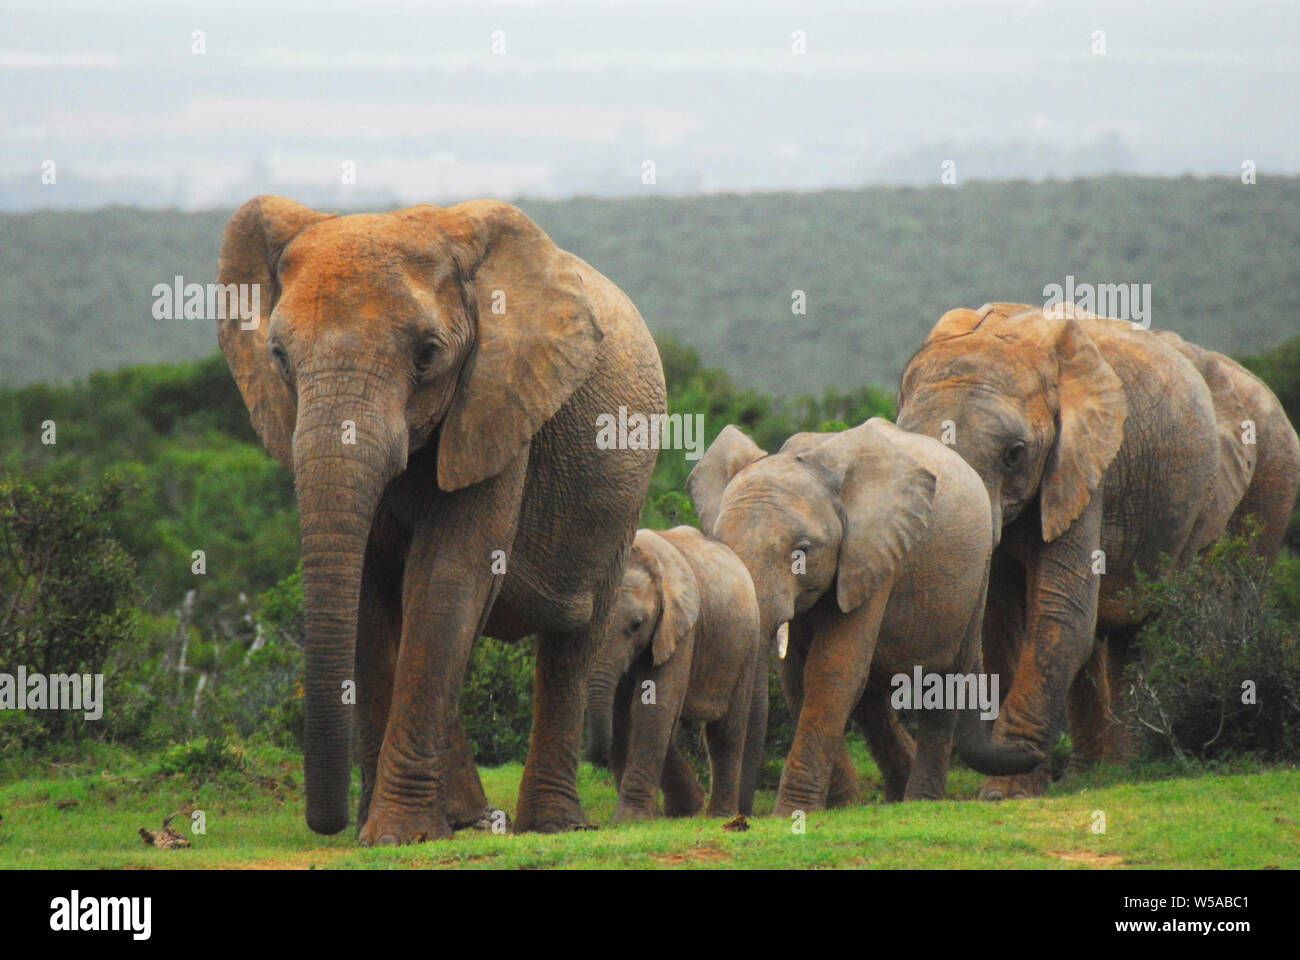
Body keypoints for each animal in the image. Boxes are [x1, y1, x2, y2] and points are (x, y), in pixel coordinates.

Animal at [218, 197, 665, 842]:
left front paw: (397, 835)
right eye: (278, 356)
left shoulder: (498, 405)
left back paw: (552, 826)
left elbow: (447, 579)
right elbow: (371, 595)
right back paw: (467, 816)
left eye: (428, 355)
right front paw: (385, 829)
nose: (327, 824)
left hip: (623, 498)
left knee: (572, 645)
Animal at [585, 528, 764, 816]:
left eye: (637, 625)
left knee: (726, 731)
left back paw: (719, 815)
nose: (592, 758)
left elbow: (655, 706)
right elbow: (624, 713)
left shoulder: (681, 628)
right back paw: (687, 809)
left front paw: (629, 819)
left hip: (747, 645)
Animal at [691, 416, 1045, 811]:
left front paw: (796, 812)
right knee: (872, 696)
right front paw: (837, 806)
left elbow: (832, 669)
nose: (739, 819)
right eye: (721, 543)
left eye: (802, 552)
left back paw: (918, 801)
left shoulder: (872, 553)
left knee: (940, 685)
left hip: (974, 577)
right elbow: (798, 676)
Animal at [894, 303, 1300, 796]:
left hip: (1267, 481)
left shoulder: (1085, 466)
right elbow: (1001, 622)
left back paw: (1127, 768)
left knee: (1156, 626)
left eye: (1014, 455)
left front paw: (1006, 790)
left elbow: (1060, 614)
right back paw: (1093, 773)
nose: (1036, 753)